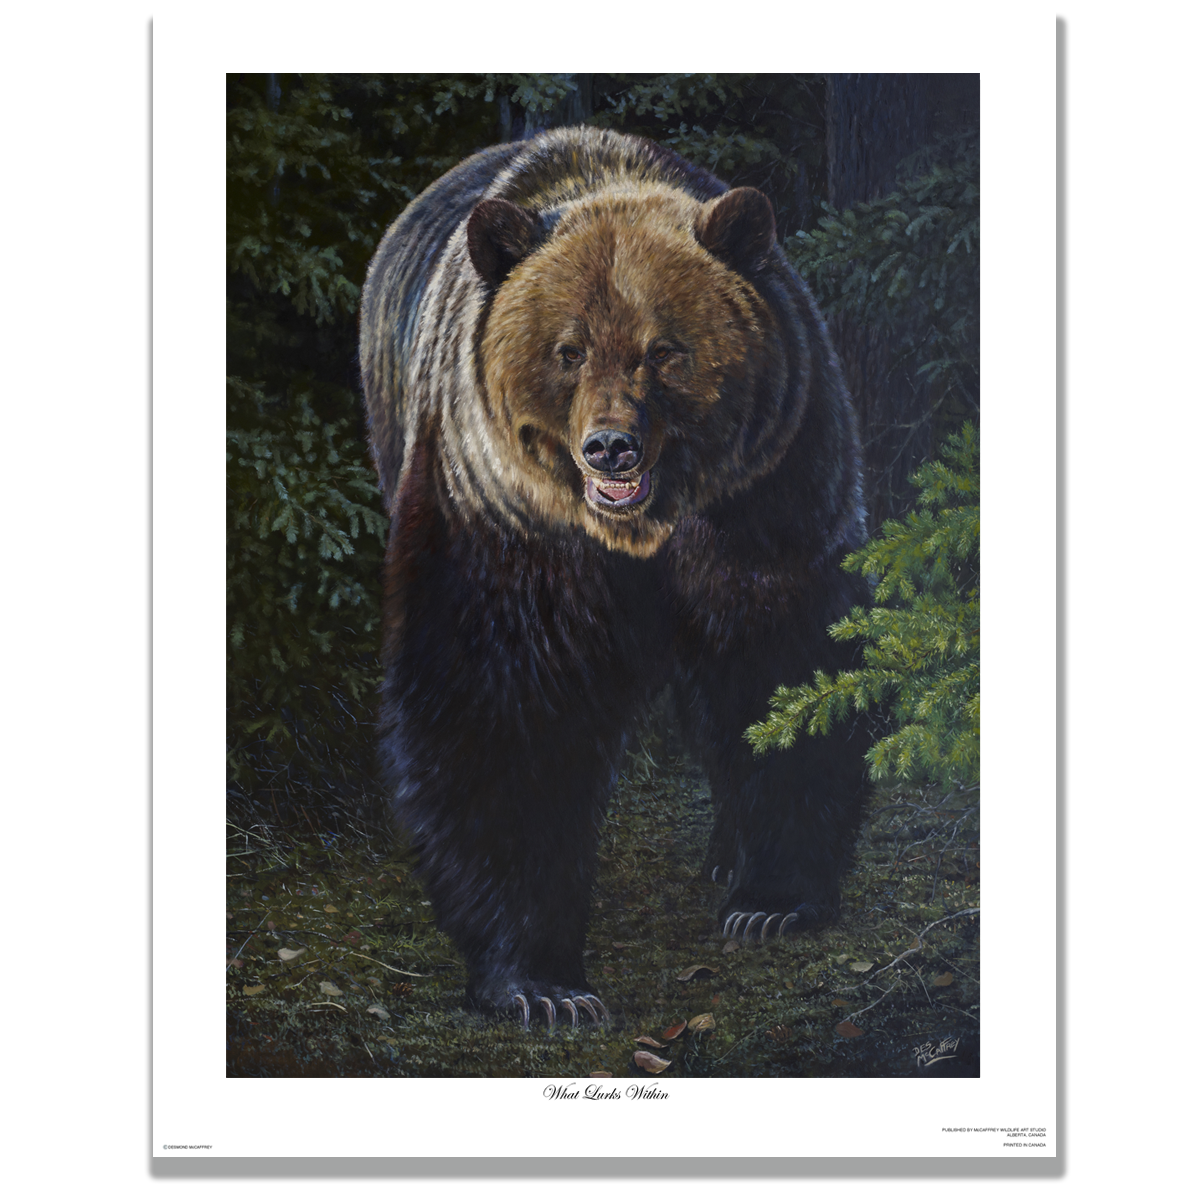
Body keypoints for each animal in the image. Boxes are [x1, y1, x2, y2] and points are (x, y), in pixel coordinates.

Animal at [359, 126, 869, 1029]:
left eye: (664, 350)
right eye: (568, 350)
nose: (610, 448)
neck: (644, 533)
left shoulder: (766, 495)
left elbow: (782, 667)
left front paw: (774, 899)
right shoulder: (510, 519)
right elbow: (505, 707)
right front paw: (541, 981)